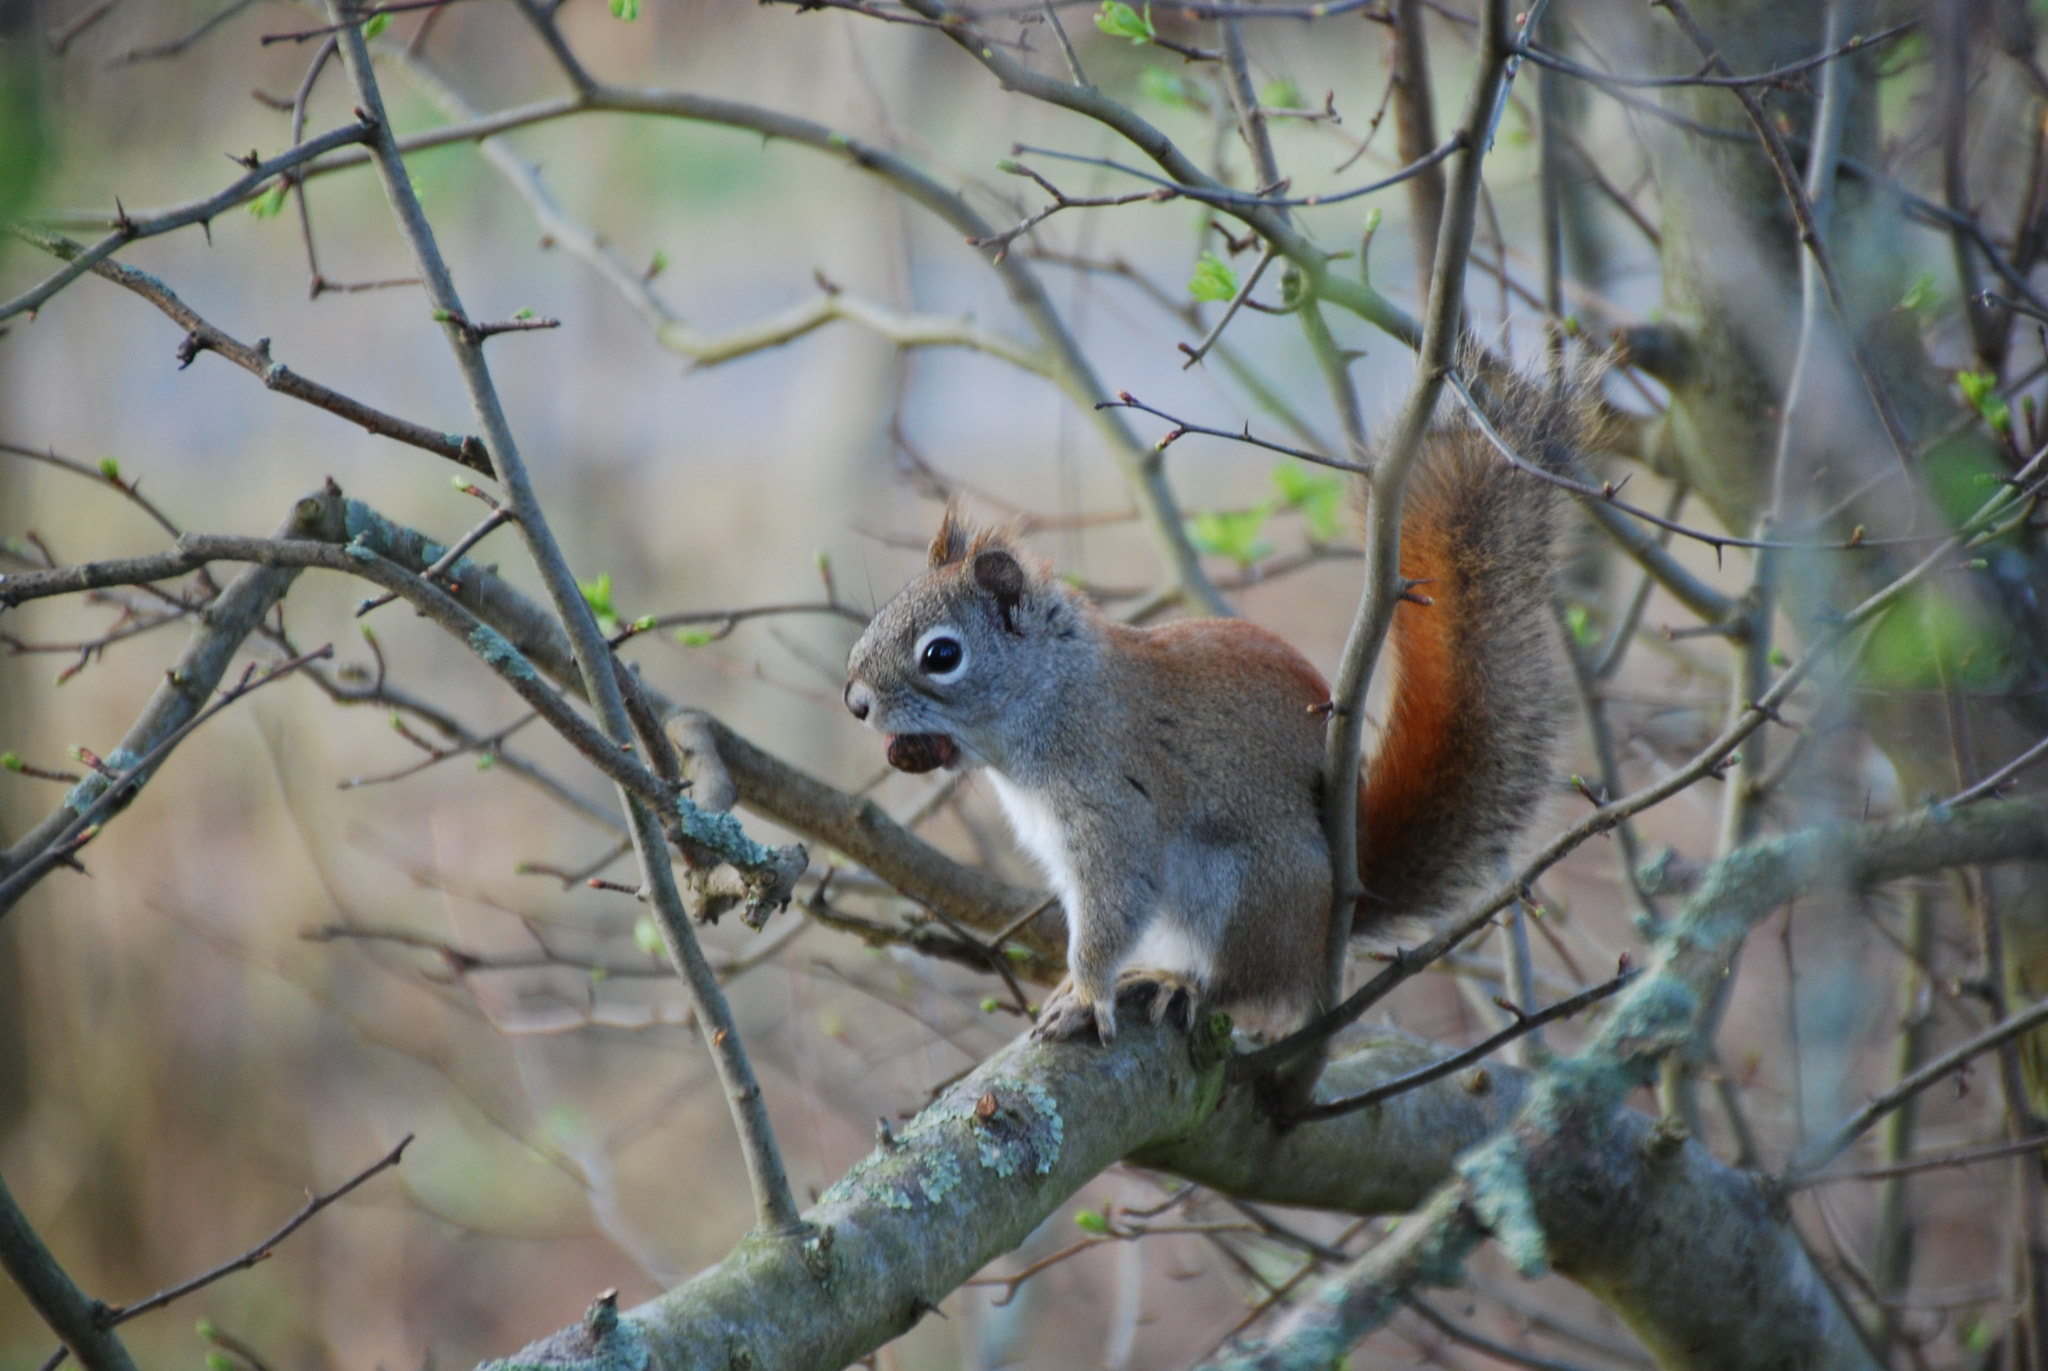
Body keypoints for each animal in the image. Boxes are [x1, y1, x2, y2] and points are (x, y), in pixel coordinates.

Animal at [843, 374, 1590, 1043]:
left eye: (942, 655)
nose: (855, 702)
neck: (1052, 696)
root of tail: (1329, 921)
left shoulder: (1111, 810)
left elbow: (1111, 907)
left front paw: (1085, 992)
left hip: (1240, 891)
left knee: (1240, 985)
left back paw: (1177, 982)